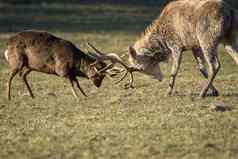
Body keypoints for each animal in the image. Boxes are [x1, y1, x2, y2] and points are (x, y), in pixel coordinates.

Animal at [4, 30, 132, 100]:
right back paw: (8, 96)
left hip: (31, 66)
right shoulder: (62, 70)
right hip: (17, 61)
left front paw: (85, 95)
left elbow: (77, 83)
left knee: (23, 75)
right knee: (10, 76)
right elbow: (71, 84)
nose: (98, 85)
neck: (75, 63)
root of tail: (7, 46)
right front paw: (77, 96)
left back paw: (32, 95)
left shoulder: (71, 73)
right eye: (100, 75)